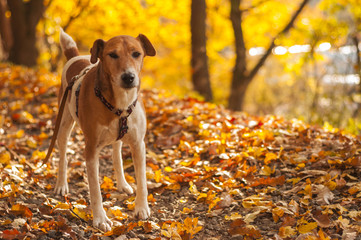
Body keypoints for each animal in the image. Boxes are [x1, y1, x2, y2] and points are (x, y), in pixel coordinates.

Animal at [54, 29, 155, 232]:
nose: (128, 77)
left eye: (136, 54)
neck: (120, 104)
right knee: (63, 155)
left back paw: (122, 183)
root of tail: (75, 56)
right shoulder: (91, 149)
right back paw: (61, 184)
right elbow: (95, 189)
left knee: (116, 155)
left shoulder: (138, 145)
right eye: (112, 55)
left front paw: (141, 208)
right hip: (64, 123)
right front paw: (100, 218)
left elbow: (142, 179)